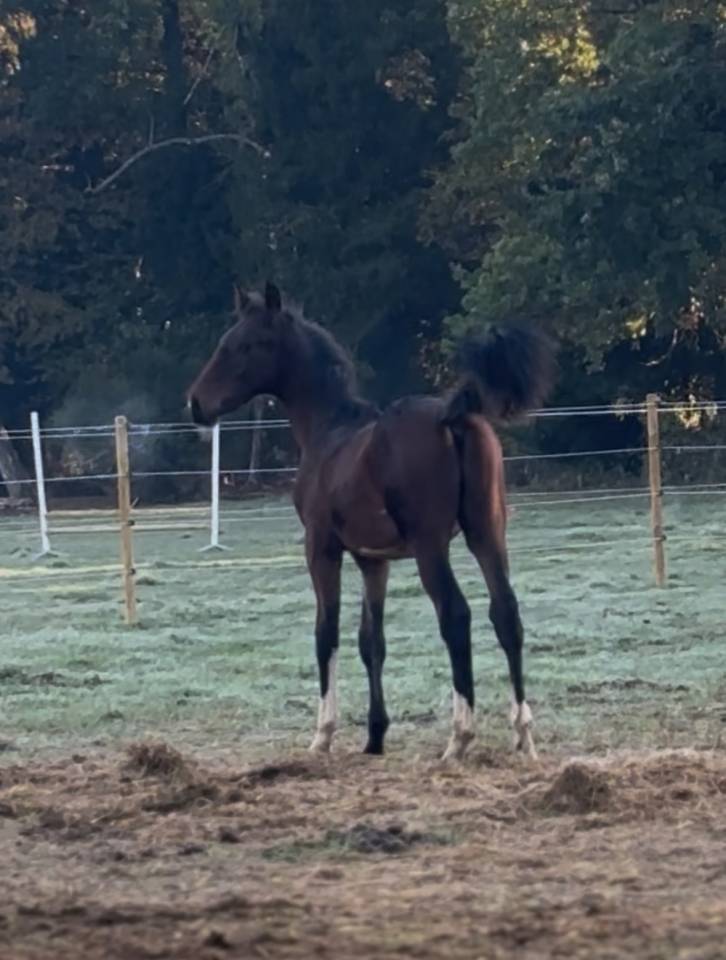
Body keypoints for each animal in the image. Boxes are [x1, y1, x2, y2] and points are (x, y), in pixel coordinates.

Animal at [188, 282, 554, 761]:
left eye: (244, 345)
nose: (196, 403)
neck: (329, 431)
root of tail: (450, 416)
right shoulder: (373, 560)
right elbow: (371, 641)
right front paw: (375, 735)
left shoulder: (322, 548)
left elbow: (326, 632)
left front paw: (323, 734)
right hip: (486, 532)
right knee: (506, 613)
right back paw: (523, 734)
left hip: (430, 545)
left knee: (456, 615)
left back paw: (459, 737)